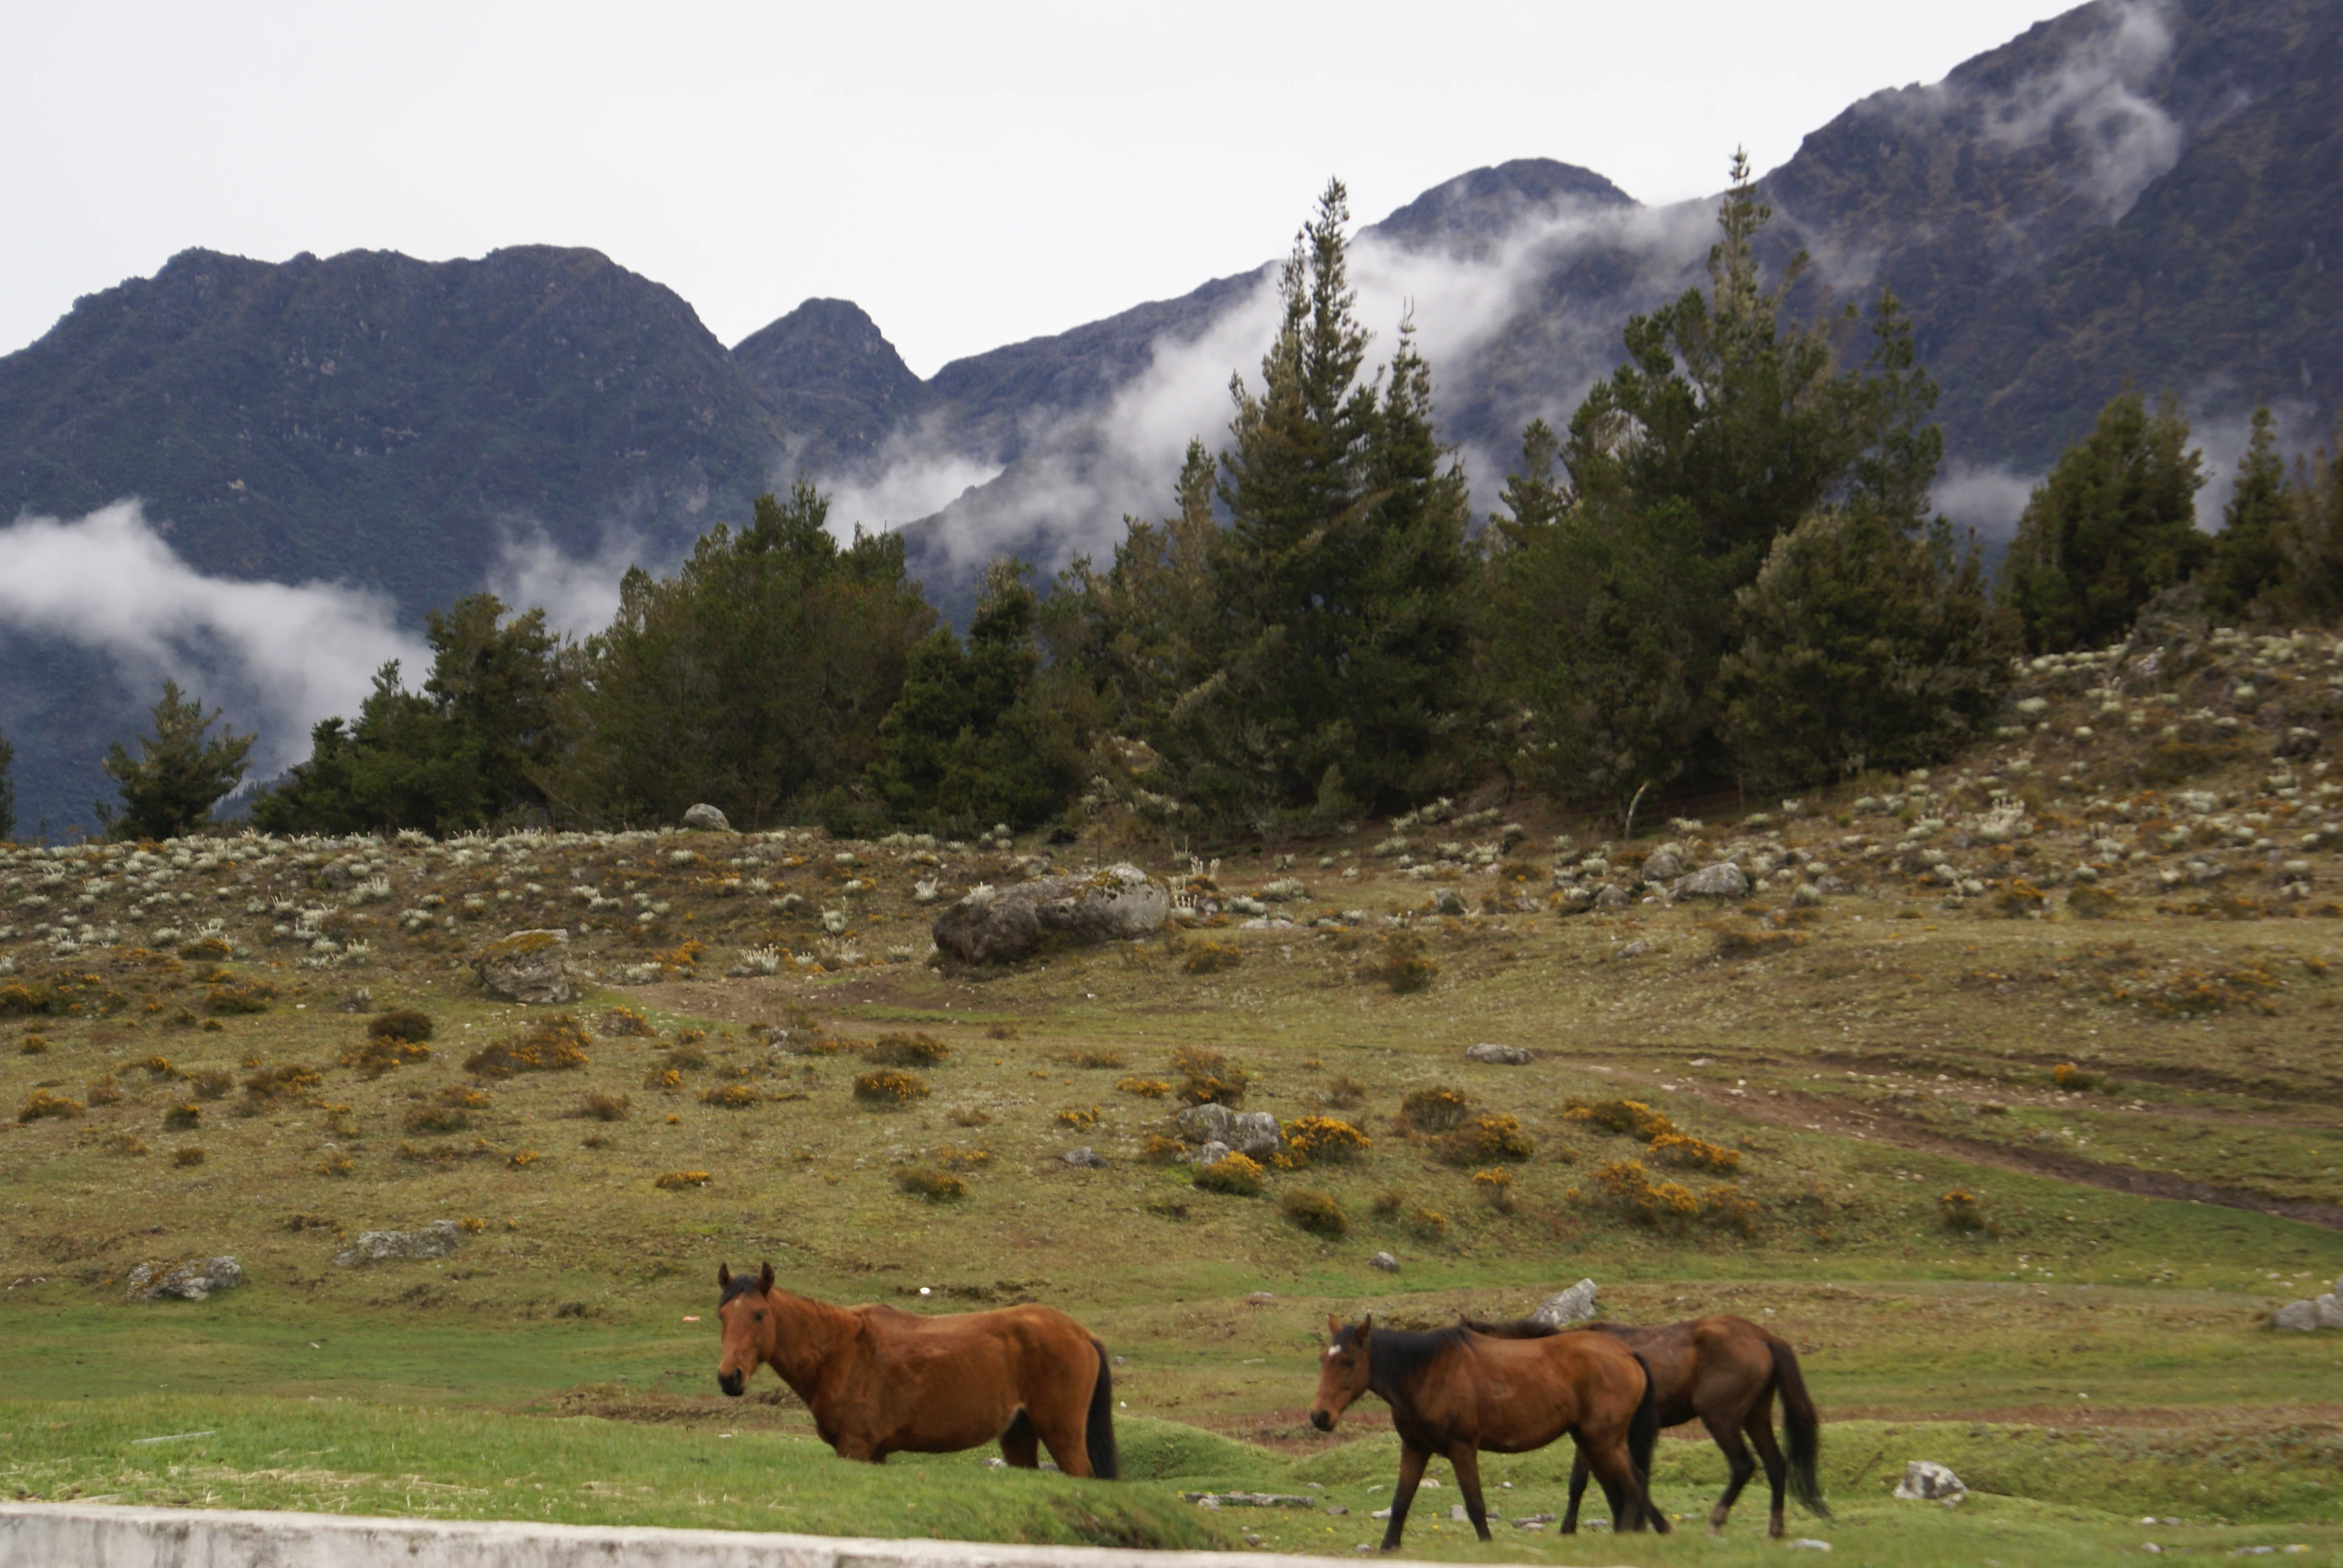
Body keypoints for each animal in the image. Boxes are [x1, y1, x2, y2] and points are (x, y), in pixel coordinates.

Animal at [714, 1261, 1119, 1478]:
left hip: (1063, 1435)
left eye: (759, 1314)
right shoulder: (873, 1453)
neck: (840, 1350)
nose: (729, 1378)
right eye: (722, 1315)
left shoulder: (855, 1447)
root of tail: (1081, 1333)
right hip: (1018, 1435)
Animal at [1308, 1312, 1668, 1551]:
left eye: (1349, 1362)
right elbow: (1400, 1503)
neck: (1425, 1373)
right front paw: (1388, 1547)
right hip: (1593, 1442)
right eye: (1323, 1359)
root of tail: (1626, 1353)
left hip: (1603, 1441)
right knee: (1625, 1489)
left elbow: (1475, 1506)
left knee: (1633, 1486)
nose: (1319, 1416)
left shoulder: (1462, 1449)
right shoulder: (1414, 1448)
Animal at [1467, 1312, 1826, 1538]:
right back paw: (1775, 1530)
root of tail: (1764, 1337)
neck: (1557, 1359)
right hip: (1756, 1416)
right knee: (1776, 1465)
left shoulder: (1595, 1434)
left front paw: (1572, 1528)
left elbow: (1581, 1482)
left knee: (1743, 1465)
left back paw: (1716, 1521)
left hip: (1721, 1419)